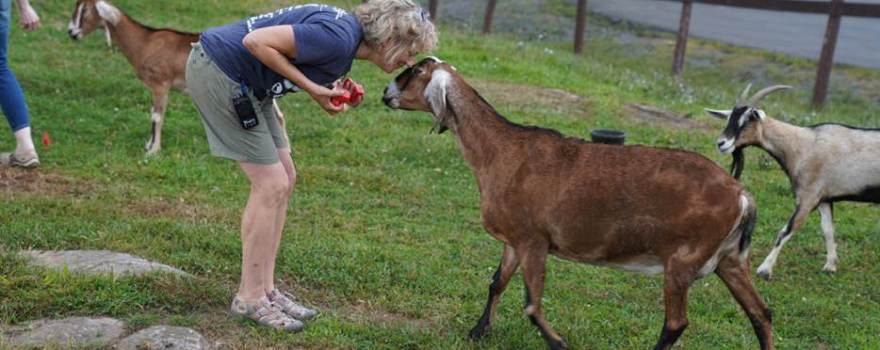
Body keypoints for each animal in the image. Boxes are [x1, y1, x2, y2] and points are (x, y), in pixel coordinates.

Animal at [382, 57, 772, 350]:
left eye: (414, 72)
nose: (386, 93)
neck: (501, 150)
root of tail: (742, 194)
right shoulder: (515, 239)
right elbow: (497, 282)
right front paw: (478, 332)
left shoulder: (534, 240)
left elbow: (531, 305)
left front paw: (558, 343)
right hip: (730, 260)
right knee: (761, 313)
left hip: (682, 259)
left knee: (676, 323)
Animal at [704, 84, 880, 278]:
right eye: (730, 118)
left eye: (748, 119)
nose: (721, 143)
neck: (803, 145)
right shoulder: (824, 198)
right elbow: (828, 230)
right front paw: (830, 266)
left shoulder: (808, 197)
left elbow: (786, 230)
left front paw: (764, 270)